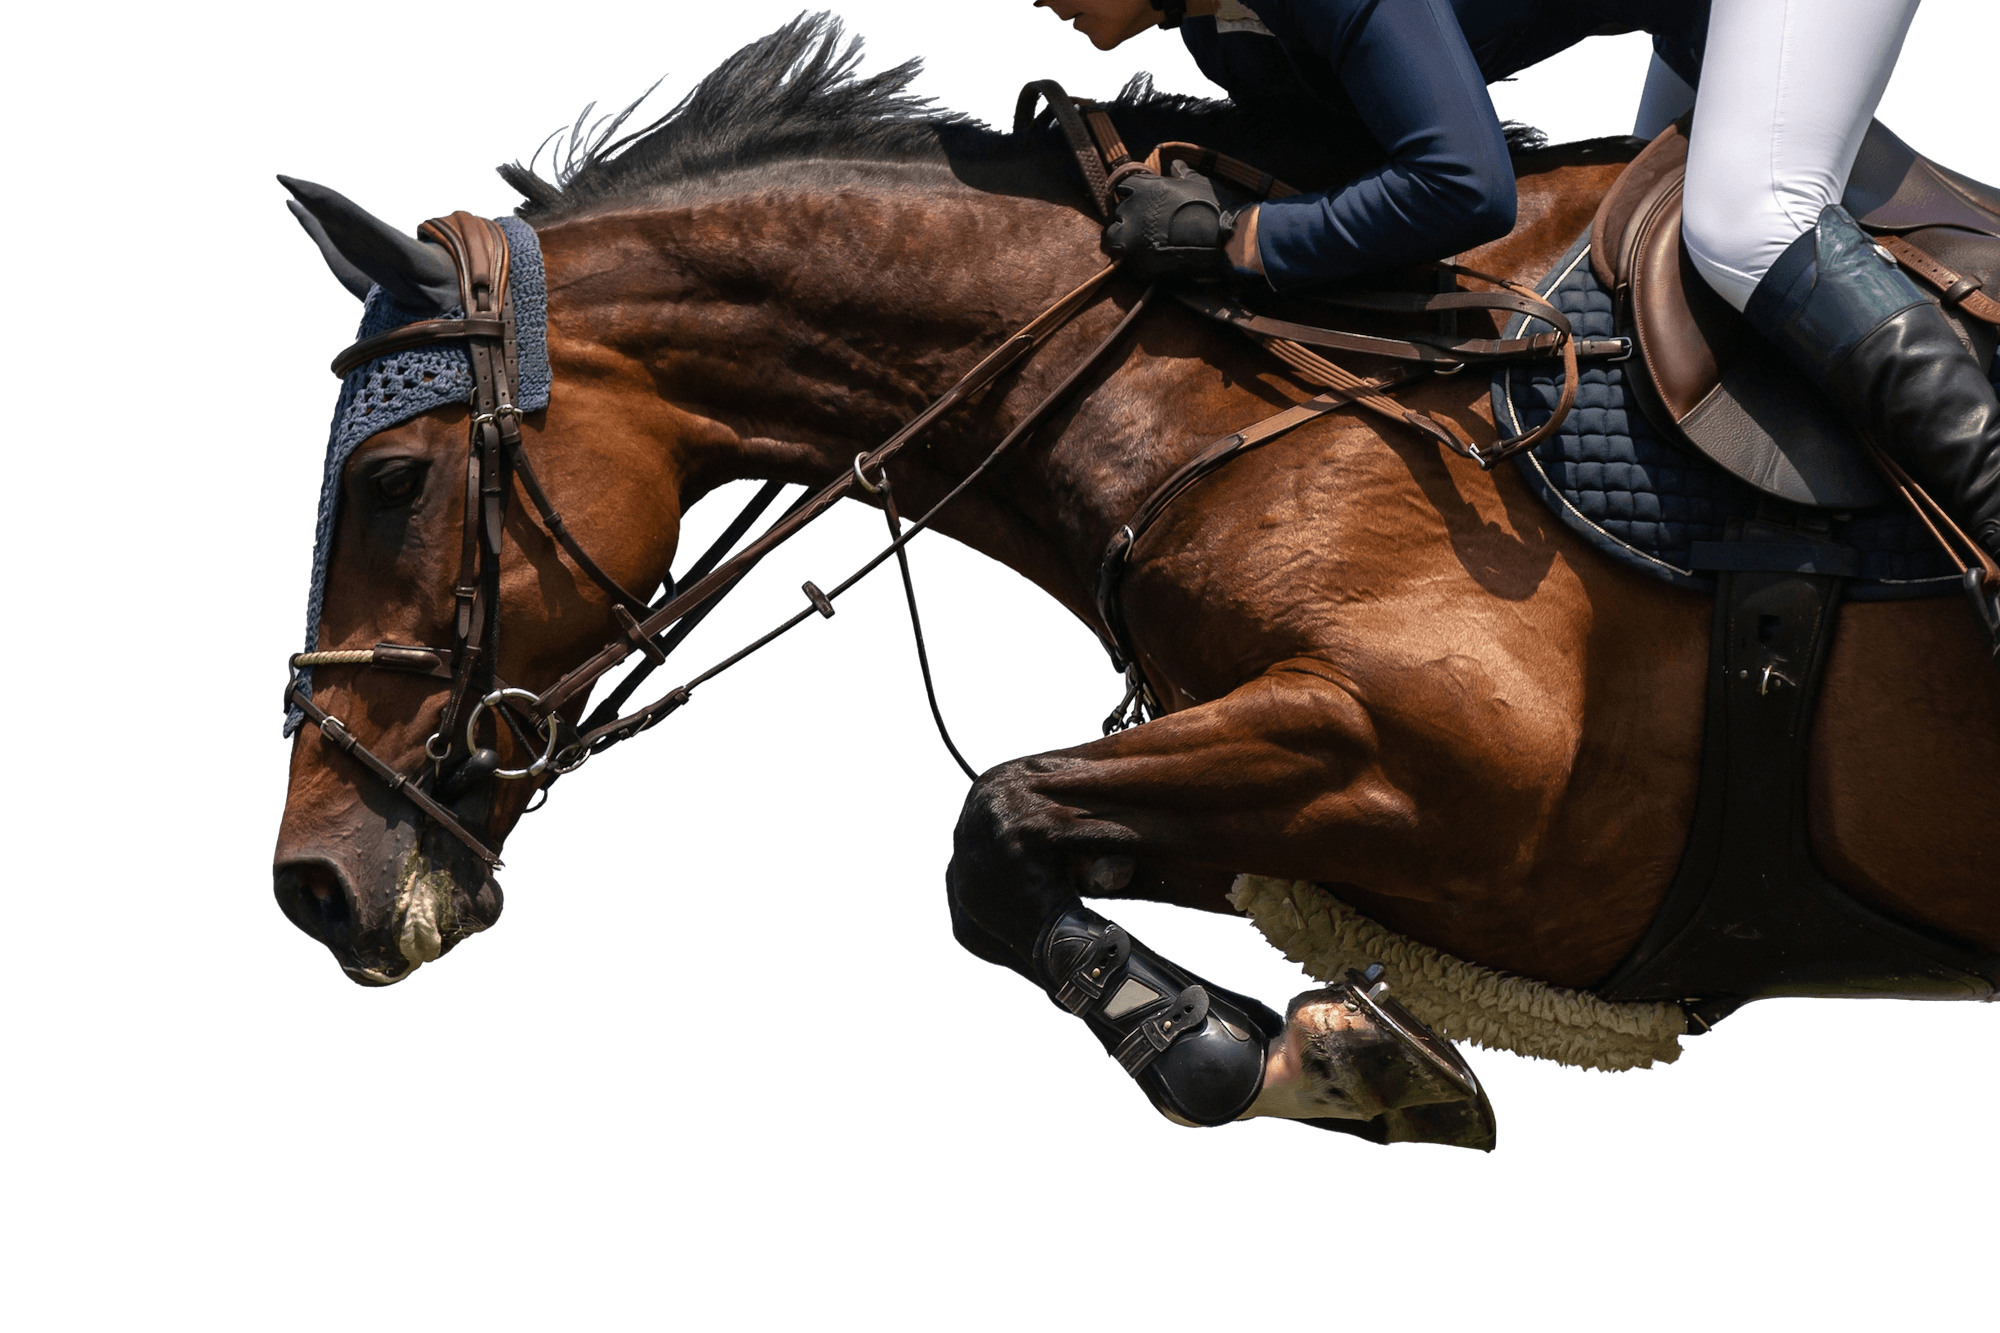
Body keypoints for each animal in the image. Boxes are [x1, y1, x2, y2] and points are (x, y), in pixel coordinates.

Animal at [270, 15, 1997, 1143]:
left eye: (395, 482)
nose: (314, 883)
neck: (1206, 375)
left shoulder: (1481, 770)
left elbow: (997, 819)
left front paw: (1221, 1049)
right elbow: (1041, 836)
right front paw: (1334, 1050)